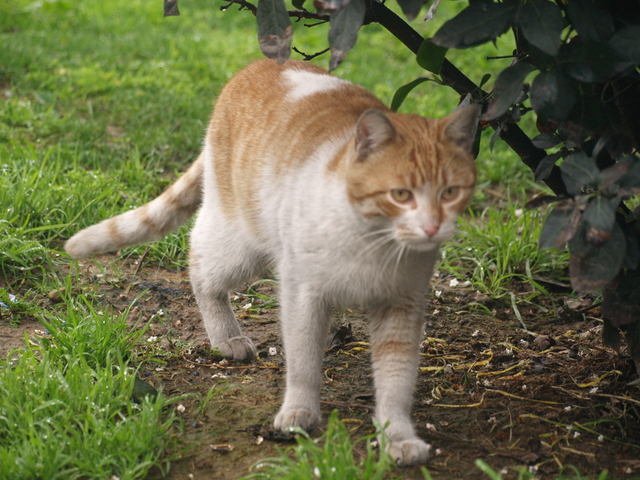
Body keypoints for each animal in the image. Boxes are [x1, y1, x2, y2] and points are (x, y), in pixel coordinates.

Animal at [65, 58, 480, 466]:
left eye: (450, 193)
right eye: (401, 195)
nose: (431, 227)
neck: (374, 242)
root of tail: (259, 63)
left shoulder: (401, 308)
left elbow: (396, 380)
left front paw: (397, 437)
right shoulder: (303, 296)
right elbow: (304, 362)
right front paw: (299, 413)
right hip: (240, 244)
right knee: (198, 261)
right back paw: (226, 337)